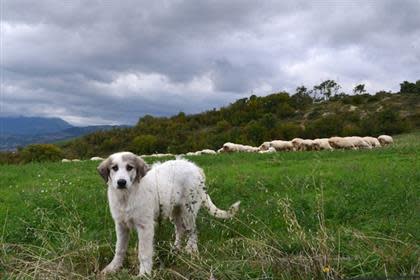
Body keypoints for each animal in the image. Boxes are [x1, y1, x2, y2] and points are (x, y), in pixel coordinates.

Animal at [96, 152, 240, 276]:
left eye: (129, 167)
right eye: (114, 168)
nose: (121, 182)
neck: (127, 196)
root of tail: (194, 167)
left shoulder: (145, 226)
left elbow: (144, 252)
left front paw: (144, 273)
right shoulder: (121, 225)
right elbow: (119, 249)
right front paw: (113, 267)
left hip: (188, 210)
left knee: (192, 230)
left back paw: (191, 250)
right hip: (174, 211)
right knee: (180, 230)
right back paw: (175, 250)